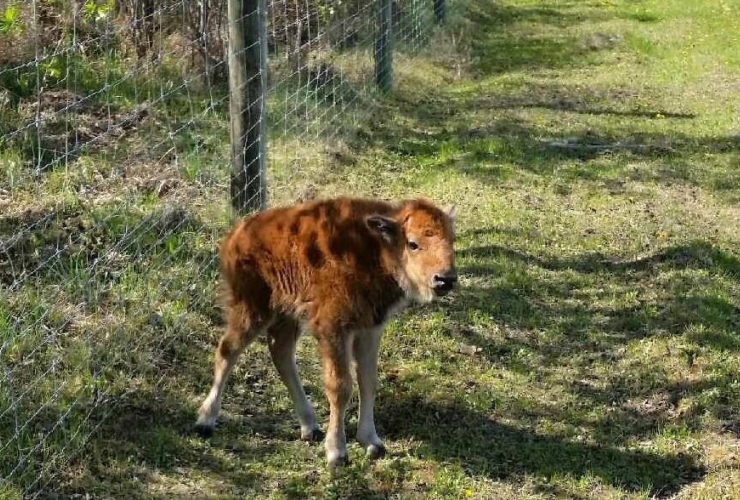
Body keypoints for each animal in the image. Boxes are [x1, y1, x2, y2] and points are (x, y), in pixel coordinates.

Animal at [197, 197, 456, 470]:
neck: (374, 248)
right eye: (413, 243)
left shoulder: (369, 330)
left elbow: (368, 381)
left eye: (452, 239)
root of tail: (238, 232)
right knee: (227, 350)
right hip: (252, 308)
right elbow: (340, 387)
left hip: (287, 314)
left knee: (281, 352)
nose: (445, 279)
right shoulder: (333, 329)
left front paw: (372, 442)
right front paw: (337, 452)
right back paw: (205, 421)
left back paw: (310, 426)